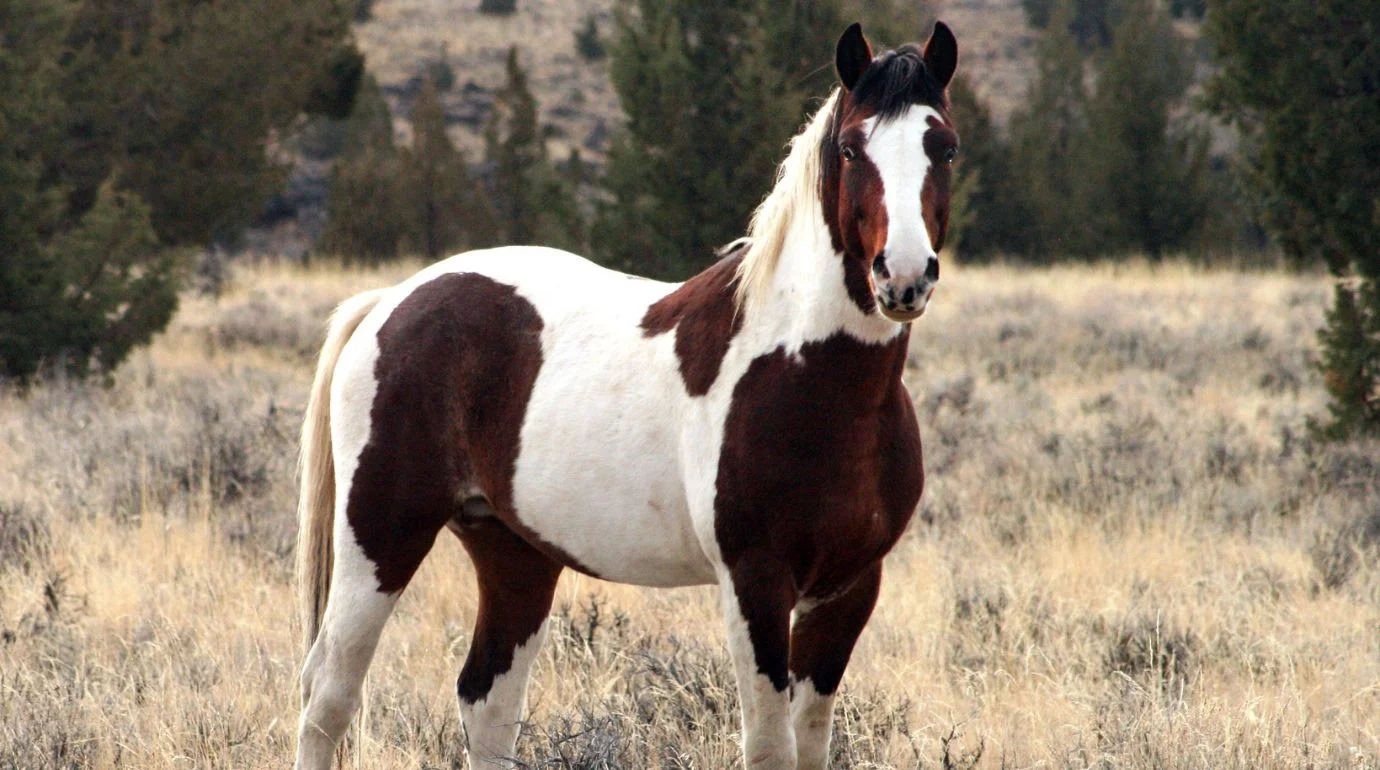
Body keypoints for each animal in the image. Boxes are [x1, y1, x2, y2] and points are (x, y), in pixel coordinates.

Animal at [294, 20, 960, 770]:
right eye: (851, 148)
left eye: (944, 146)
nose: (902, 277)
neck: (813, 379)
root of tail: (392, 301)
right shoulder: (755, 582)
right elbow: (768, 744)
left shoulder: (849, 587)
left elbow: (810, 741)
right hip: (379, 537)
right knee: (329, 696)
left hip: (513, 553)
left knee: (486, 701)